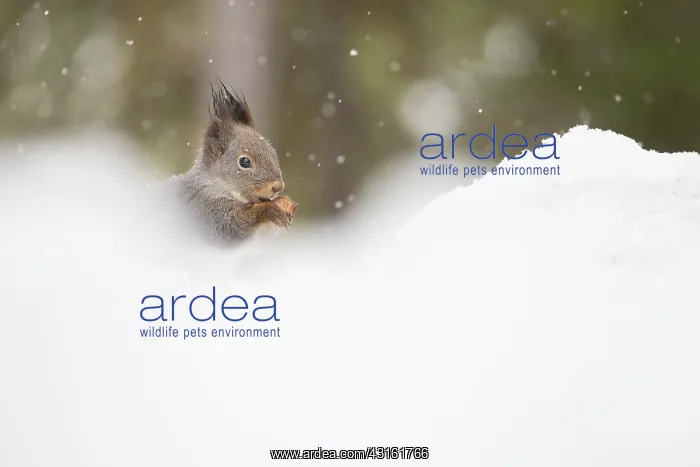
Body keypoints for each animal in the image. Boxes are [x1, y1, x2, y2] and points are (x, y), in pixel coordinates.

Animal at [167, 80, 297, 244]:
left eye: (273, 152)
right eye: (245, 162)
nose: (278, 187)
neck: (216, 186)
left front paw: (287, 202)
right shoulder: (204, 209)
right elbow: (231, 226)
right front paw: (270, 211)